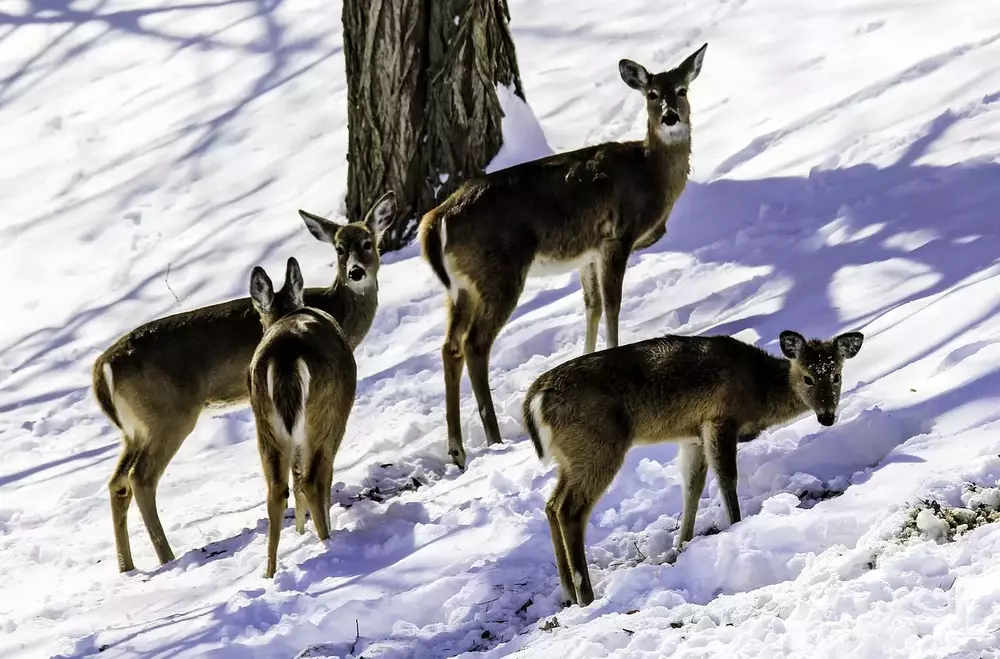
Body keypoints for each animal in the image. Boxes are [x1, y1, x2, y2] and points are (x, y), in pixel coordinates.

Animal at [246, 256, 356, 576]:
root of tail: (284, 356)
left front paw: (299, 532)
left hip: (266, 425)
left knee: (277, 490)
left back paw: (270, 573)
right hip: (326, 413)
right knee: (314, 479)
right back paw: (329, 542)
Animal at [418, 45, 708, 470]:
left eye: (683, 89)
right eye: (652, 94)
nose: (671, 117)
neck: (650, 174)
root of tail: (435, 220)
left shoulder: (587, 254)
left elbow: (591, 307)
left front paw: (585, 362)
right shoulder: (615, 236)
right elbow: (613, 304)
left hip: (461, 287)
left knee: (450, 346)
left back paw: (457, 449)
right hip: (498, 270)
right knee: (475, 343)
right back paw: (493, 437)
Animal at [524, 330, 868, 608]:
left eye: (836, 375)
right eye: (808, 377)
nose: (827, 416)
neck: (758, 389)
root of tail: (535, 400)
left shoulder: (692, 435)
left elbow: (693, 486)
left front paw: (682, 545)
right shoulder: (719, 418)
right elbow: (727, 479)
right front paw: (737, 528)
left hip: (570, 457)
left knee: (551, 505)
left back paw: (567, 593)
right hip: (598, 444)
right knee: (570, 509)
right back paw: (586, 596)